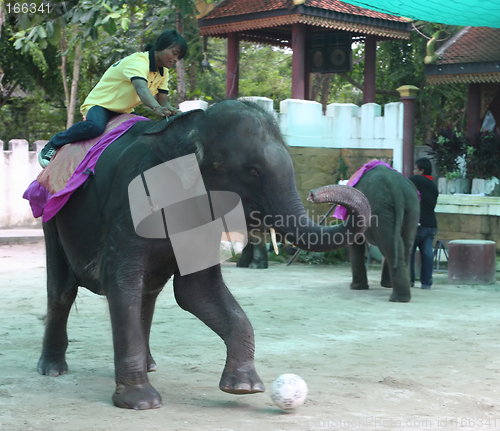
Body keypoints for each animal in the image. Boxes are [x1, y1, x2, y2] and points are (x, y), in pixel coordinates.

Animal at [308, 165, 418, 304]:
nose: (311, 195)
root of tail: (395, 187)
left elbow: (356, 242)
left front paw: (356, 287)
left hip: (380, 210)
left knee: (389, 245)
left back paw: (397, 298)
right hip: (411, 208)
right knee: (403, 245)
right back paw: (399, 294)